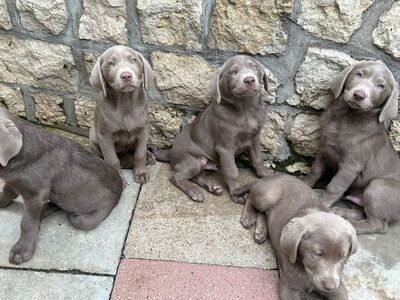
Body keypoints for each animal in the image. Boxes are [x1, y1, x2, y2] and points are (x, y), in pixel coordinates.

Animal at [0, 109, 122, 264]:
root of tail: (120, 187)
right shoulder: (15, 182)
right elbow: (7, 191)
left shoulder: (35, 194)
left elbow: (27, 222)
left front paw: (22, 250)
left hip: (85, 218)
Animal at [90, 45, 155, 184]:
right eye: (110, 63)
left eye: (134, 60)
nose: (126, 76)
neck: (125, 102)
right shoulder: (105, 136)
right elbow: (112, 159)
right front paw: (118, 179)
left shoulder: (143, 131)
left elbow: (139, 153)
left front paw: (141, 173)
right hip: (93, 134)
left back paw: (149, 155)